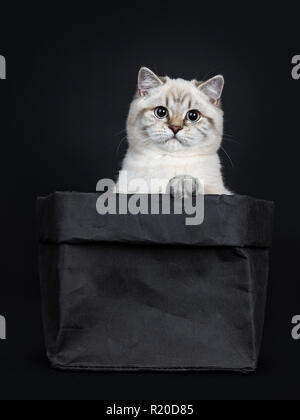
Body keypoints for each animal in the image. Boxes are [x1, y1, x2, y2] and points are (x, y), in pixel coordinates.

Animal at [116, 67, 231, 197]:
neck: (169, 160)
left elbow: (201, 187)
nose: (175, 128)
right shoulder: (121, 190)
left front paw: (183, 183)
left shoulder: (218, 191)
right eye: (161, 112)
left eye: (193, 116)